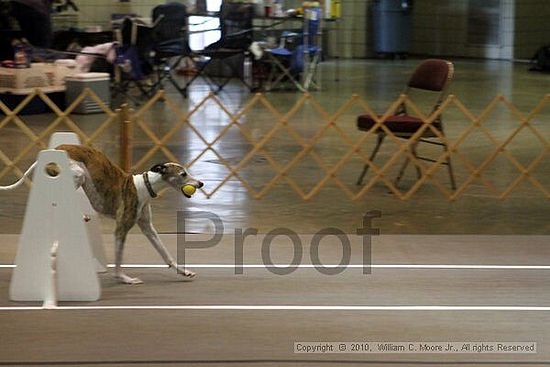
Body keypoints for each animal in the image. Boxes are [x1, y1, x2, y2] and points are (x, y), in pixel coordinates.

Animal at [0, 145, 205, 286]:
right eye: (183, 174)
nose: (201, 183)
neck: (144, 187)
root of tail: (54, 149)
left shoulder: (148, 228)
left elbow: (165, 253)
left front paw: (183, 271)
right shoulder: (121, 229)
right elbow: (119, 260)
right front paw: (124, 279)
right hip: (77, 174)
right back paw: (80, 216)